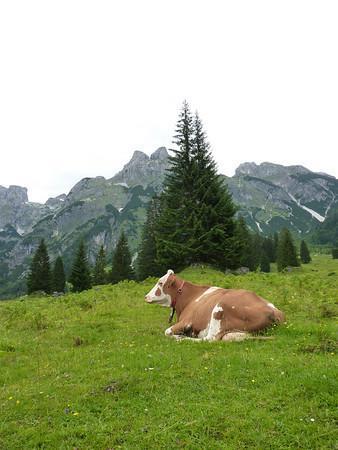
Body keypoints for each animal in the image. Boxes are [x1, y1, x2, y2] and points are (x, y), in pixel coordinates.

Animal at [144, 268, 284, 340]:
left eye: (160, 282)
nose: (146, 297)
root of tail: (274, 312)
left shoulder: (187, 321)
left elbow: (167, 331)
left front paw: (179, 335)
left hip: (219, 310)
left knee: (209, 339)